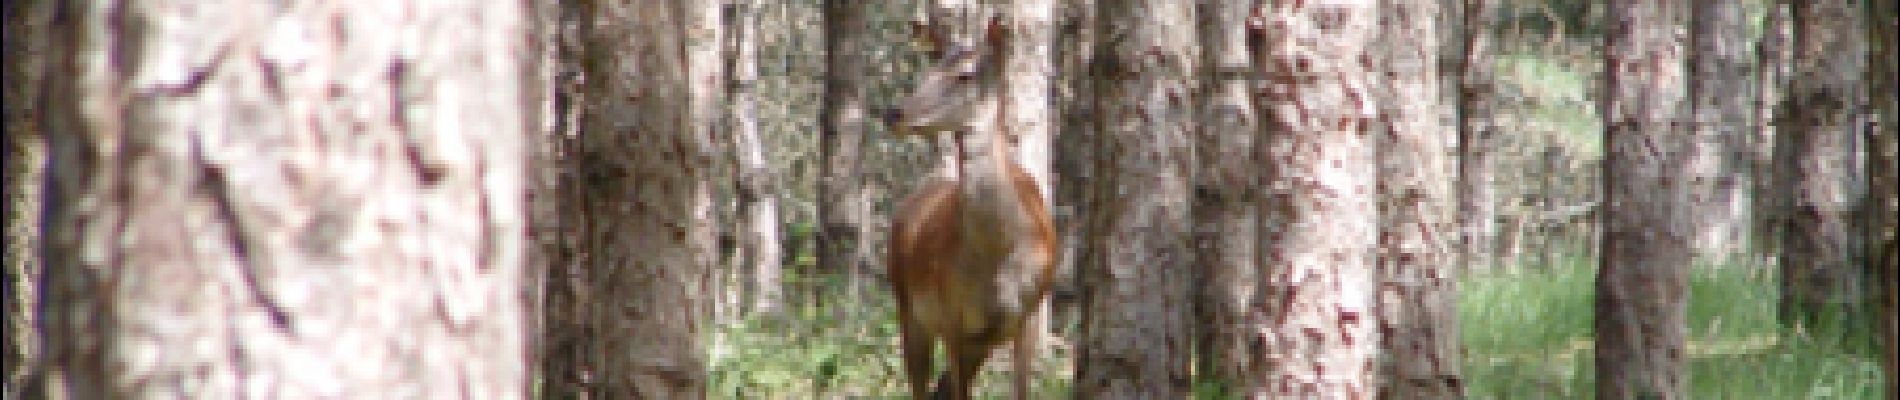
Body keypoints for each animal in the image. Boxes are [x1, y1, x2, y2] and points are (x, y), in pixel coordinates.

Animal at [881, 16, 1064, 400]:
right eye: (929, 70)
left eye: (965, 74)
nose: (893, 112)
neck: (999, 254)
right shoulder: (951, 316)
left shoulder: (1029, 314)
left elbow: (1020, 390)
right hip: (907, 306)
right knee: (922, 385)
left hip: (979, 340)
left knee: (940, 387)